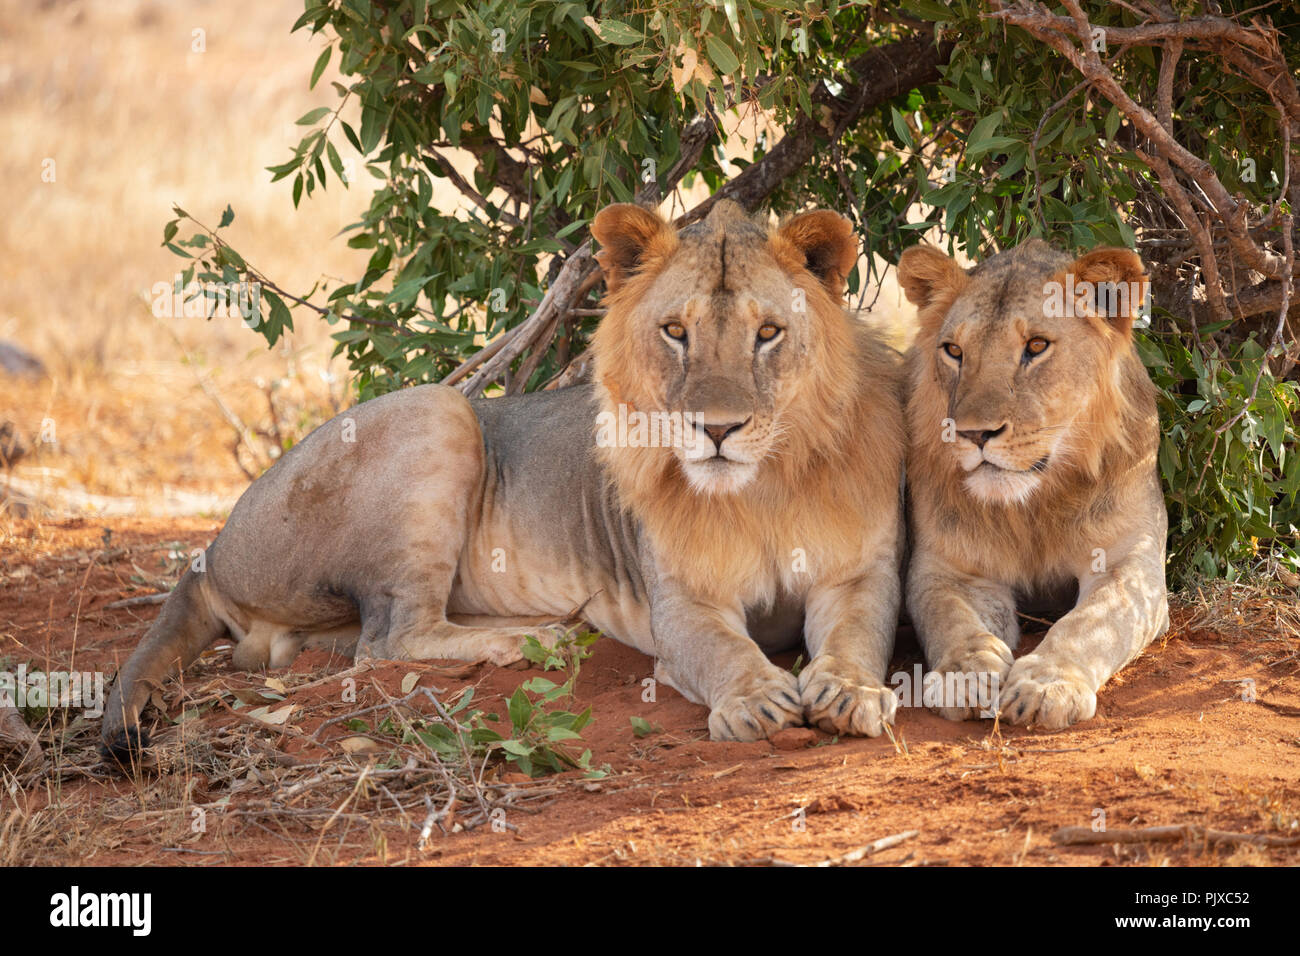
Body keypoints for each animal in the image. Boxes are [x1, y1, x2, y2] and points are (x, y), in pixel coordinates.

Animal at [101, 197, 904, 759]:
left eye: (768, 333)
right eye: (676, 332)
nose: (717, 430)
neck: (761, 489)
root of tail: (210, 552)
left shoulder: (859, 574)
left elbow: (857, 634)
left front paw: (849, 692)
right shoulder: (682, 604)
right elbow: (722, 650)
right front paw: (756, 701)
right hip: (441, 411)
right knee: (390, 638)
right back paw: (531, 641)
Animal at [899, 240, 1175, 733]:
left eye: (1037, 346)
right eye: (954, 350)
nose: (974, 433)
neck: (1034, 504)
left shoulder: (1130, 564)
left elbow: (1088, 624)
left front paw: (1048, 685)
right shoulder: (949, 568)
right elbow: (951, 616)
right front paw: (964, 675)